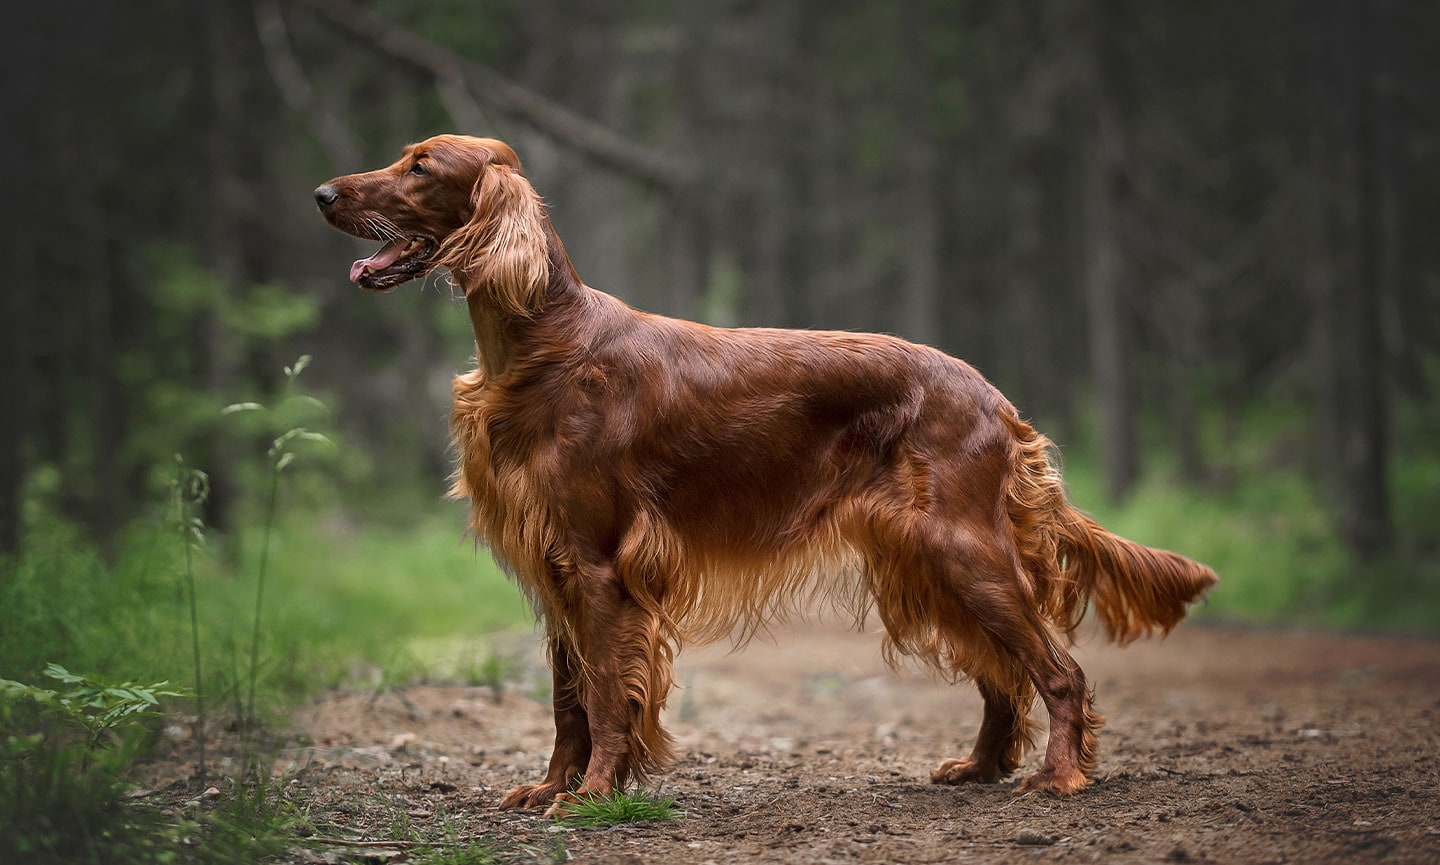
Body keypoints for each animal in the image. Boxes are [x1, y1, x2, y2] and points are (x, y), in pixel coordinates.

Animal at [315, 133, 1215, 811]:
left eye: (420, 166)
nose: (322, 192)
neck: (541, 344)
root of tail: (995, 398)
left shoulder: (599, 566)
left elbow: (605, 694)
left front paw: (596, 793)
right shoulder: (554, 564)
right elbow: (569, 697)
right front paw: (551, 786)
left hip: (963, 549)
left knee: (1057, 670)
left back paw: (1060, 775)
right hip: (927, 559)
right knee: (1003, 674)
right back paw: (983, 765)